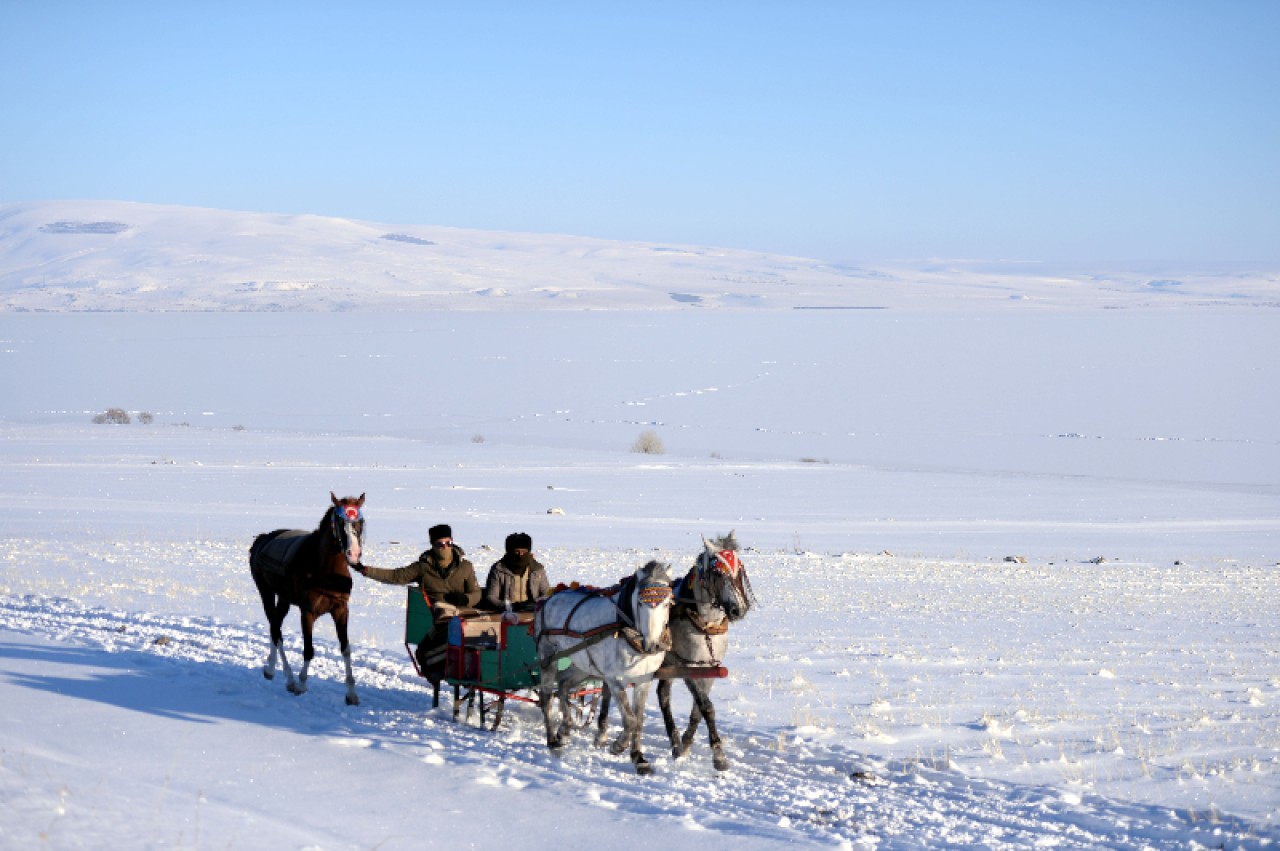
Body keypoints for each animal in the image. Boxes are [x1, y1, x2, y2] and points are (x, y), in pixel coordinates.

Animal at [249, 491, 363, 701]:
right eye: (339, 521)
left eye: (360, 521)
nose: (353, 553)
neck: (326, 571)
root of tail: (262, 539)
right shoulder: (307, 612)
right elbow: (308, 650)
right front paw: (302, 684)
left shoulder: (341, 610)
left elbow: (346, 649)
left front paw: (351, 693)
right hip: (265, 592)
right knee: (276, 632)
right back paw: (290, 679)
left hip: (284, 598)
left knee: (275, 627)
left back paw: (270, 668)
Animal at [535, 560, 675, 772]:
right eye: (640, 603)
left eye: (667, 603)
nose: (653, 646)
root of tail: (551, 597)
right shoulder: (614, 680)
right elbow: (630, 719)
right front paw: (618, 746)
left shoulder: (644, 681)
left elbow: (639, 719)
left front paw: (639, 758)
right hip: (548, 657)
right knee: (546, 697)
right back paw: (552, 741)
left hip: (582, 664)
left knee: (563, 685)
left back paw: (564, 731)